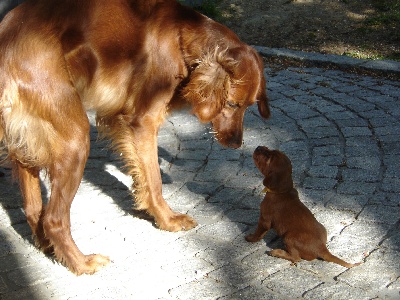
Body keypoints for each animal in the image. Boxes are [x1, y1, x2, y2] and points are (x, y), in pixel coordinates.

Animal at [0, 0, 270, 274]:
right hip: (75, 139)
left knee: (34, 209)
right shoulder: (143, 123)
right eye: (232, 104)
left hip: (28, 140)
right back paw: (82, 263)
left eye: (249, 106)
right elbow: (154, 181)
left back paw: (49, 247)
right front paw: (168, 220)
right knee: (54, 219)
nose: (237, 144)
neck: (182, 38)